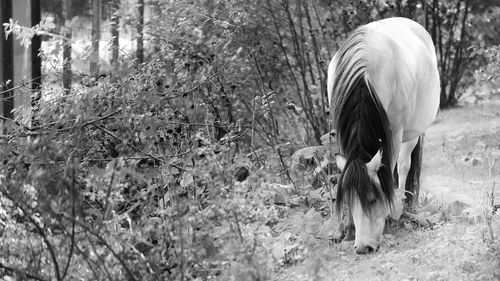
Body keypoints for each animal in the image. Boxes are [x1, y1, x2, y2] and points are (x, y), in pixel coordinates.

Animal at [330, 17, 440, 254]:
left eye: (372, 200)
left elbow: (390, 170)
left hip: (412, 134)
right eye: (349, 201)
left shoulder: (395, 134)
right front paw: (348, 230)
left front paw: (388, 220)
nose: (364, 248)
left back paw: (405, 205)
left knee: (405, 165)